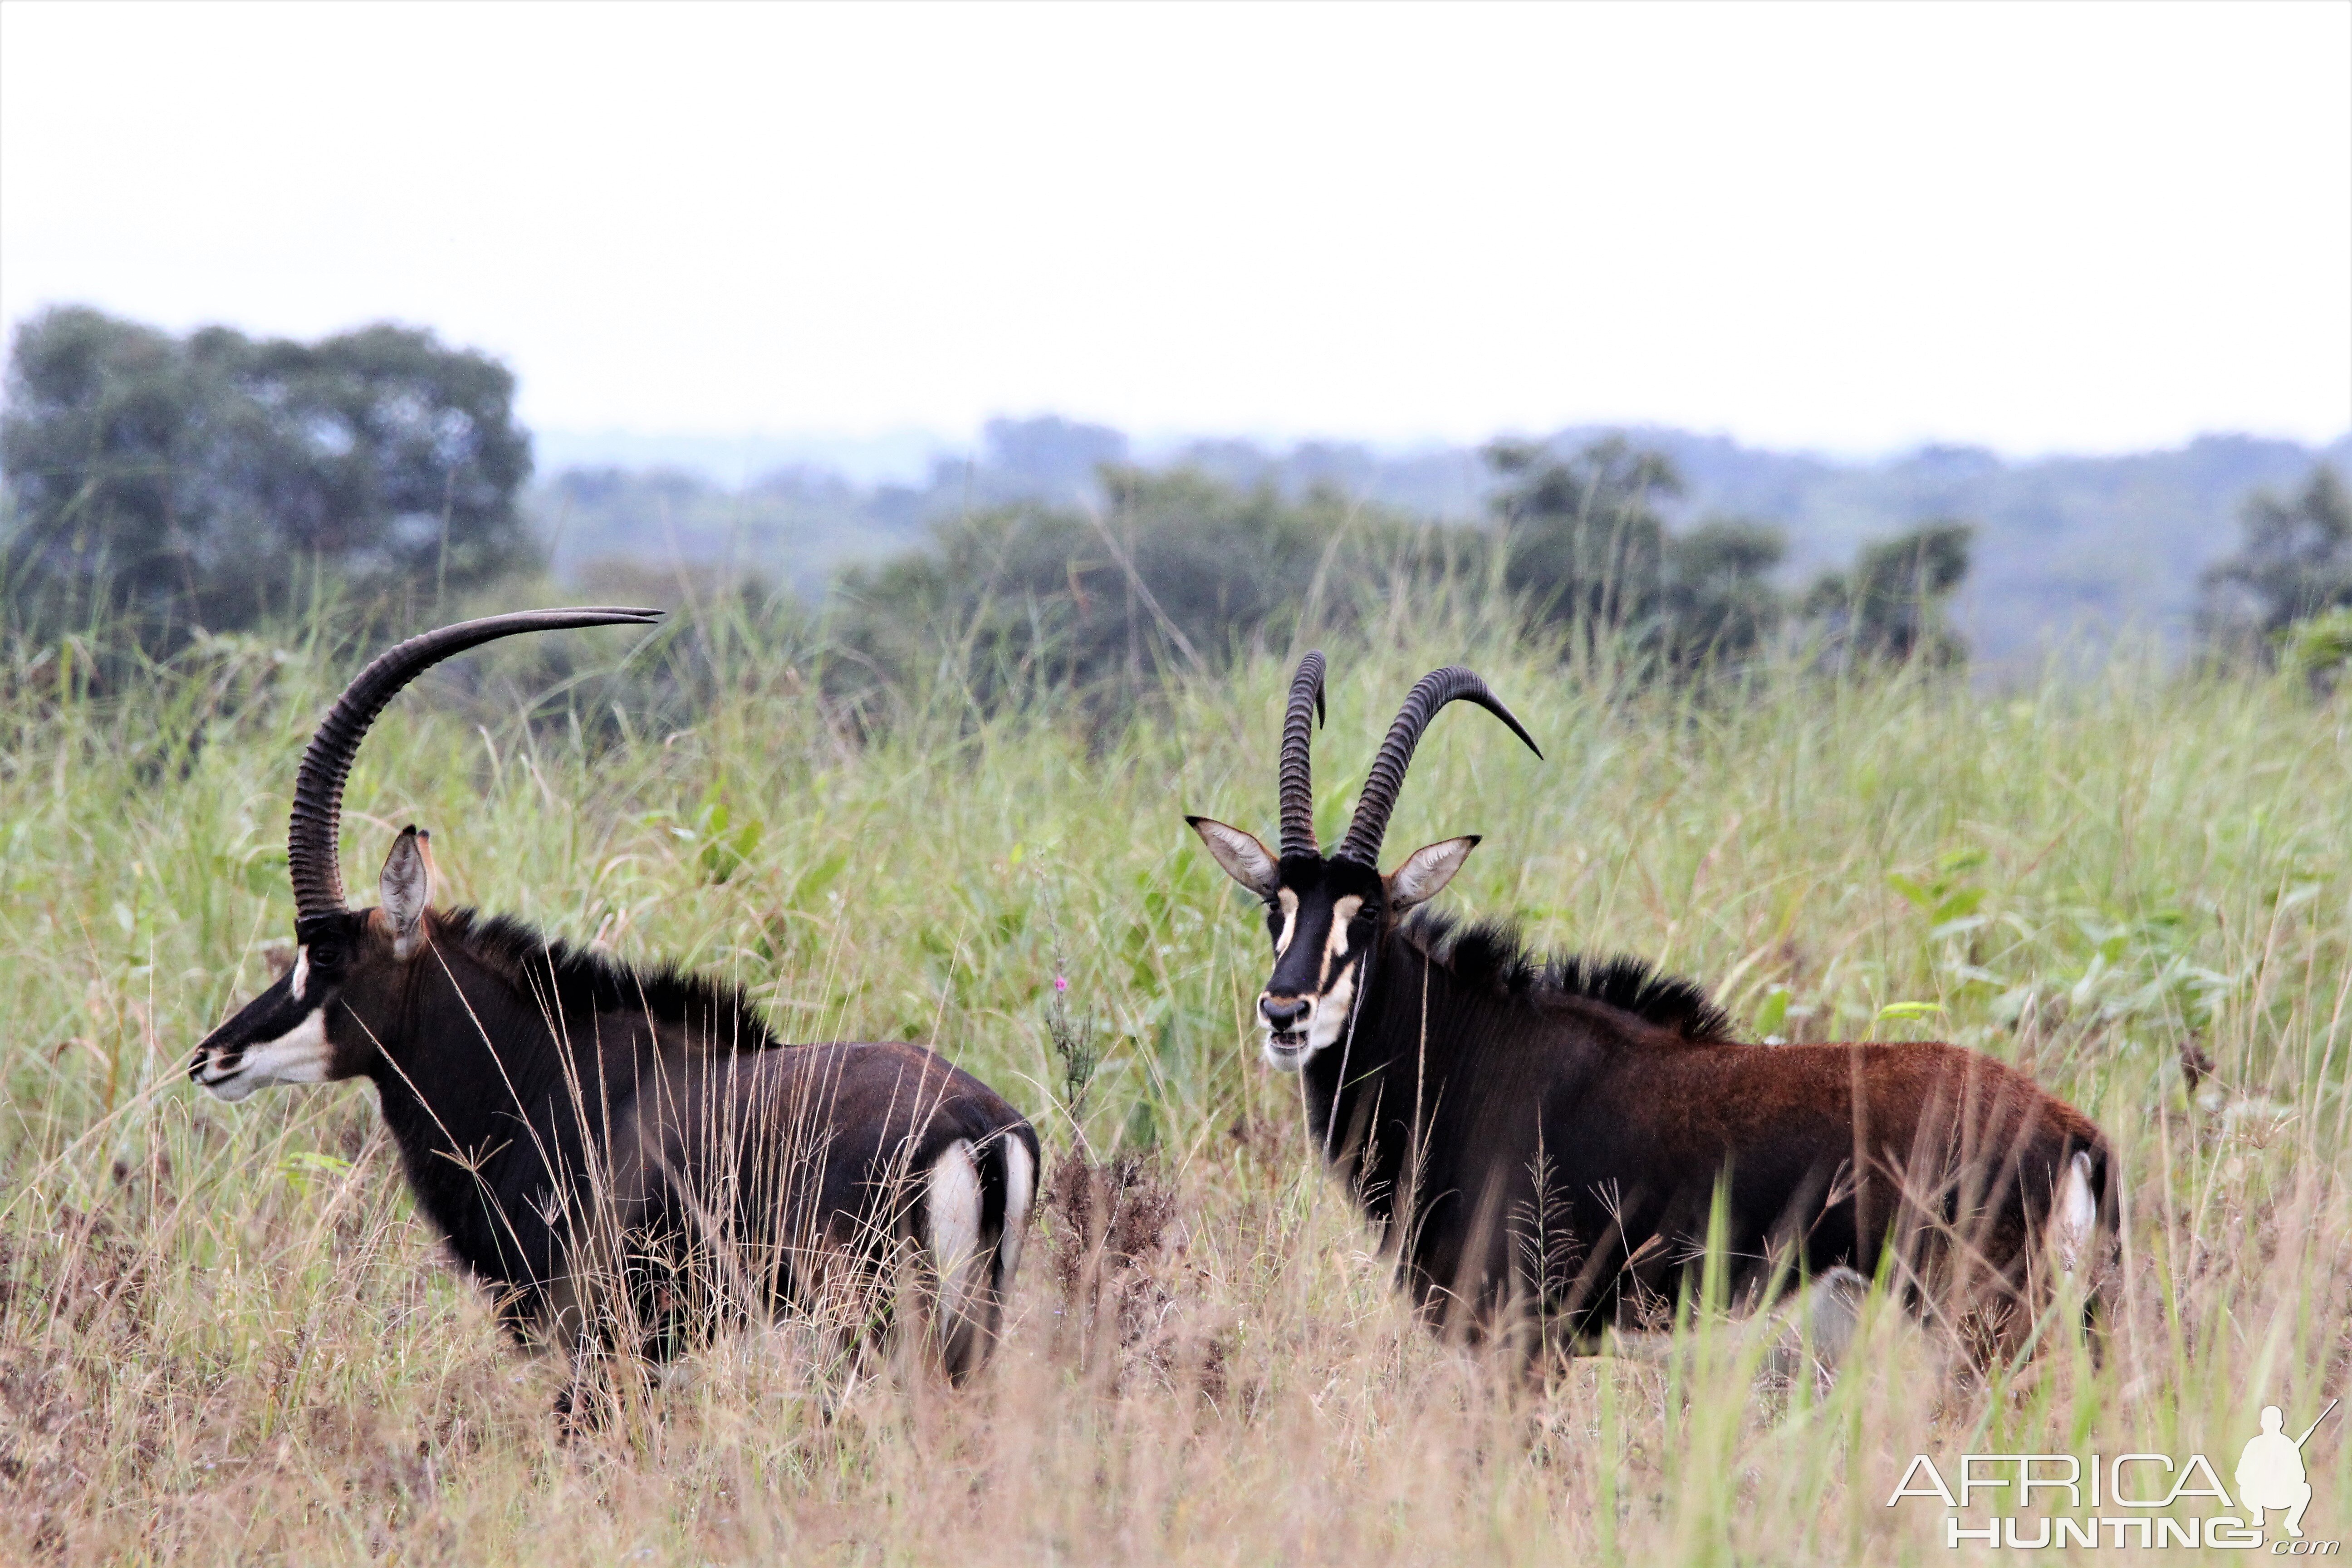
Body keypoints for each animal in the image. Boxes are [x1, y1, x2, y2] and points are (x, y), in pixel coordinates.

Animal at [197, 611, 1044, 1410]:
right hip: (970, 1330)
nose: (213, 1056)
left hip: (874, 1323)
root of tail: (976, 1128)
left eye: (325, 956)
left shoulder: (599, 1336)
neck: (549, 1072)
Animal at [1195, 653, 2117, 1363]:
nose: (1285, 1011)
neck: (1469, 1056)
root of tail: (2069, 1130)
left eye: (1370, 914)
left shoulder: (1525, 1339)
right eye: (1275, 907)